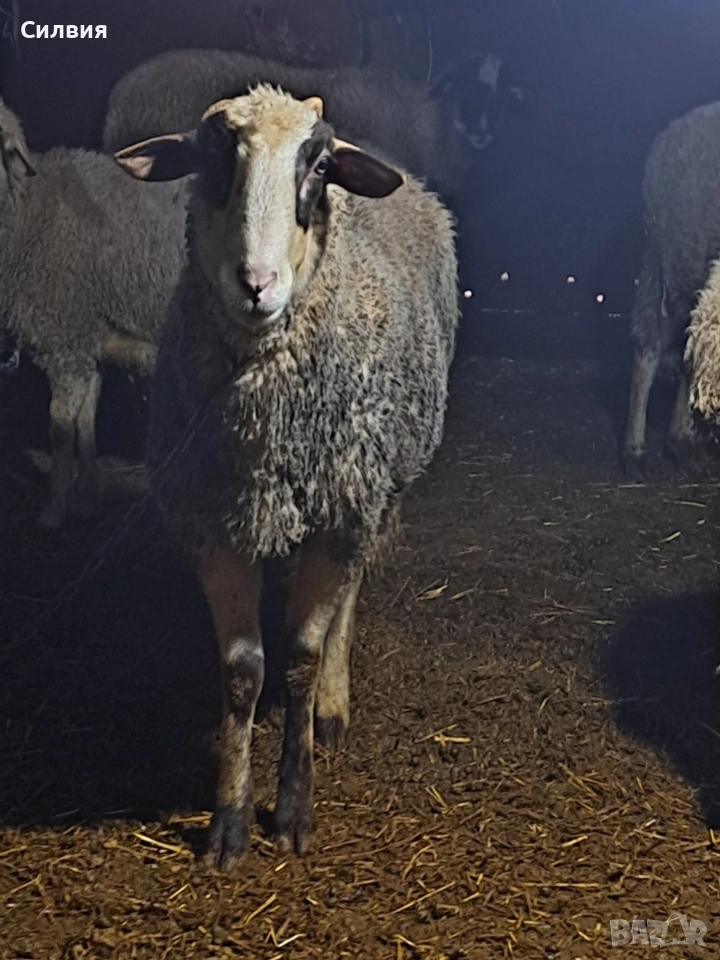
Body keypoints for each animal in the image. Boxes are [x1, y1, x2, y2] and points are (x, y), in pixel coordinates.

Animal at [0, 98, 187, 529]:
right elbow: (85, 422)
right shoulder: (87, 343)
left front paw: (54, 510)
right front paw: (87, 495)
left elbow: (60, 429)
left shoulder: (64, 343)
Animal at [114, 84, 458, 868]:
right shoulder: (216, 523)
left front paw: (295, 807)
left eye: (319, 167)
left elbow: (299, 658)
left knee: (349, 597)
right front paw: (229, 823)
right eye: (211, 160)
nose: (256, 286)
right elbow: (243, 672)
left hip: (373, 492)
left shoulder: (339, 515)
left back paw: (331, 703)